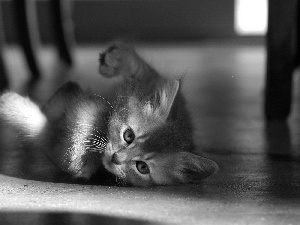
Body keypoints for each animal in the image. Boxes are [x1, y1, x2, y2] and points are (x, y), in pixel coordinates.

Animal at [0, 41, 217, 185]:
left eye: (142, 167)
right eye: (128, 136)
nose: (116, 158)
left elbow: (42, 132)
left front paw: (9, 103)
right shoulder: (163, 92)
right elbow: (145, 73)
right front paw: (116, 59)